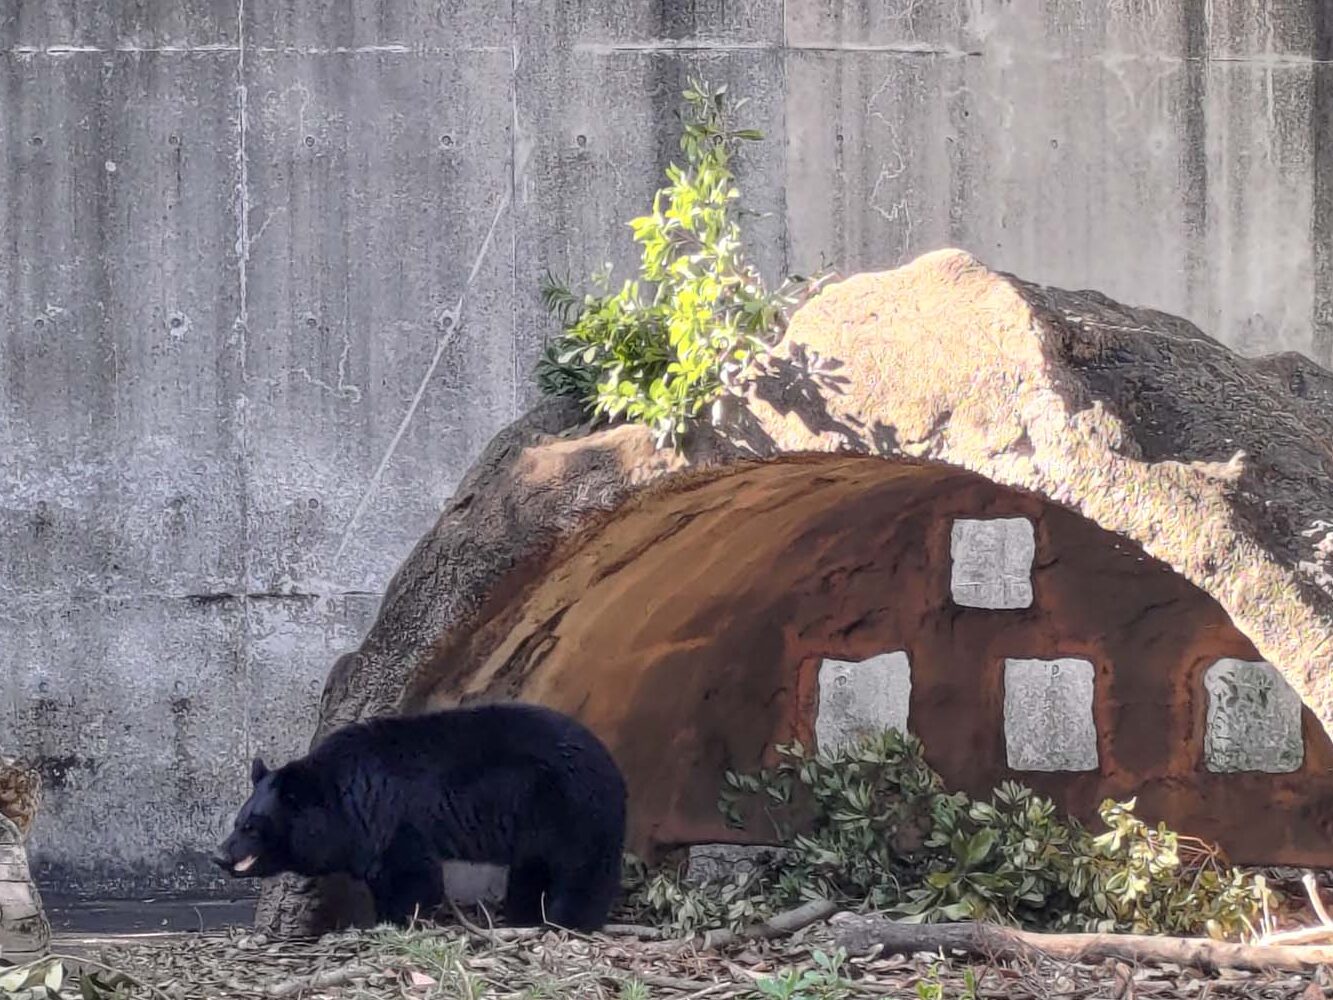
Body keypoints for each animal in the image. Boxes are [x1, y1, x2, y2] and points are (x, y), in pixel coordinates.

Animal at [211, 701, 627, 932]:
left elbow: (412, 875)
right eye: (236, 822)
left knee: (582, 869)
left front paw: (396, 920)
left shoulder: (395, 819)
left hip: (571, 810)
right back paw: (524, 916)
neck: (345, 799)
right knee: (532, 870)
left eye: (251, 827)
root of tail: (613, 765)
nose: (219, 854)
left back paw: (569, 920)